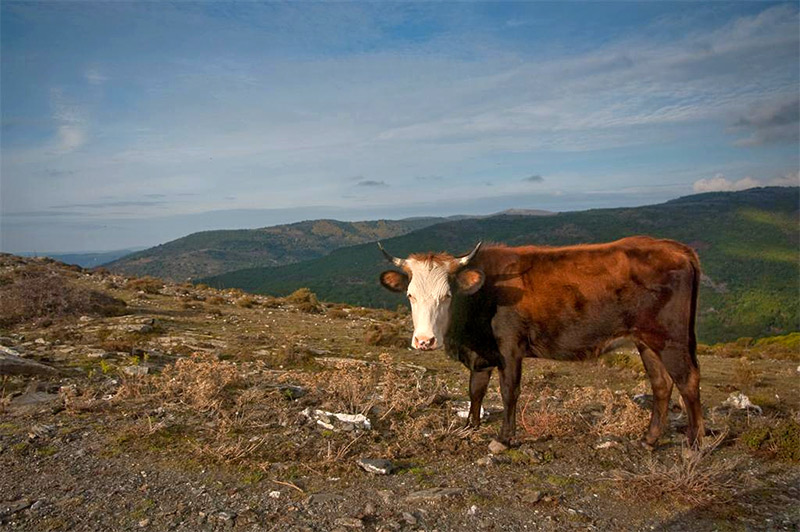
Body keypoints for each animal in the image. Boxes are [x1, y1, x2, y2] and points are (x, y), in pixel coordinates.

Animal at [378, 236, 704, 447]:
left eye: (446, 296)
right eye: (410, 295)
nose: (425, 341)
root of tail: (676, 248)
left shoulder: (510, 347)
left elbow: (509, 390)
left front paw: (505, 439)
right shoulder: (481, 353)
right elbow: (476, 390)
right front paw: (470, 426)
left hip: (670, 338)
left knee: (687, 381)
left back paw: (695, 444)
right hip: (647, 341)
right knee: (661, 384)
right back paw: (649, 440)